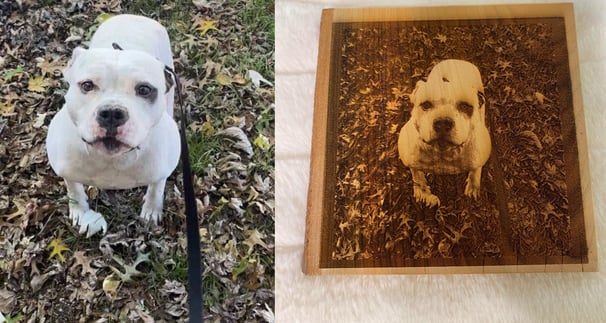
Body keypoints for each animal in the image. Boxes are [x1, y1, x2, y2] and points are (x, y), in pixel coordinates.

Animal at [47, 14, 180, 238]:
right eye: (87, 85)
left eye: (144, 89)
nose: (111, 113)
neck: (111, 160)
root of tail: (135, 17)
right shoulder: (65, 168)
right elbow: (73, 188)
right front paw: (79, 210)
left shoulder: (162, 170)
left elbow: (156, 189)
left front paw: (152, 210)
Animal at [400, 59, 494, 208]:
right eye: (425, 104)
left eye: (465, 106)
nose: (443, 123)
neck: (443, 153)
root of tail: (457, 60)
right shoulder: (410, 159)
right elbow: (417, 176)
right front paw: (423, 193)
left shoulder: (480, 154)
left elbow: (476, 170)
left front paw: (473, 186)